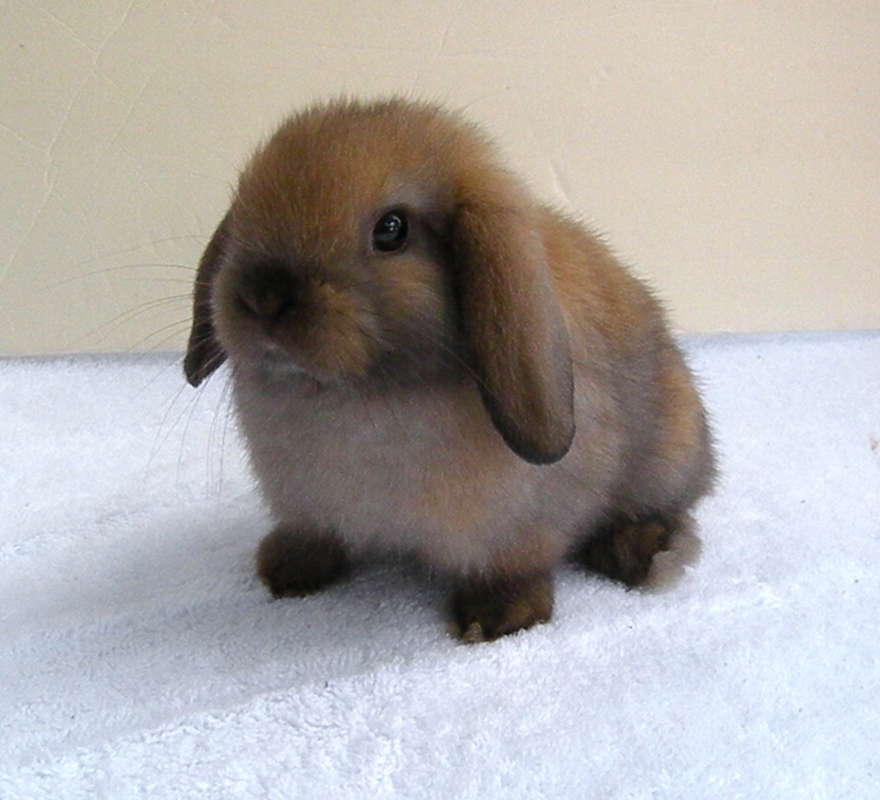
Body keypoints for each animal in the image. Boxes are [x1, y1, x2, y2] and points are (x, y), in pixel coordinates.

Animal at [184, 97, 716, 642]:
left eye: (391, 229)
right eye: (244, 210)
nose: (262, 296)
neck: (358, 397)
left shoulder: (519, 525)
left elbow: (514, 566)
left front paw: (496, 618)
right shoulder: (306, 506)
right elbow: (314, 536)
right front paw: (286, 570)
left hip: (666, 458)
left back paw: (640, 551)